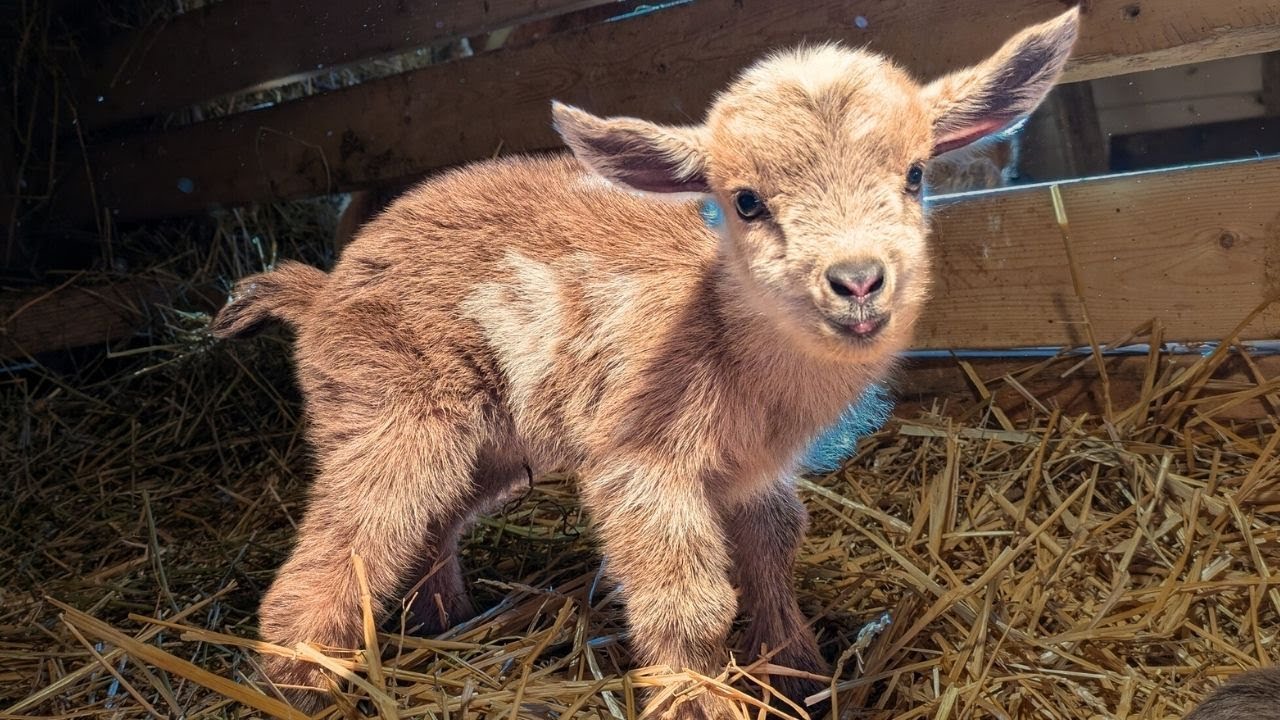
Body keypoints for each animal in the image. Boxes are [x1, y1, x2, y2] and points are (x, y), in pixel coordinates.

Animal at [212, 10, 1080, 717]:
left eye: (915, 173)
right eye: (745, 201)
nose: (859, 280)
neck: (725, 337)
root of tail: (322, 289)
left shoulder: (754, 473)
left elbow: (776, 545)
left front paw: (798, 670)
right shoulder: (640, 461)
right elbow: (689, 604)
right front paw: (706, 700)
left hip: (490, 442)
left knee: (429, 529)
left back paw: (448, 623)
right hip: (390, 408)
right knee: (351, 541)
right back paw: (301, 681)